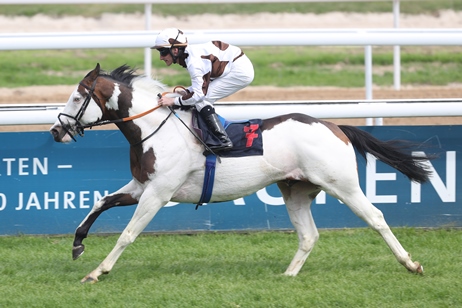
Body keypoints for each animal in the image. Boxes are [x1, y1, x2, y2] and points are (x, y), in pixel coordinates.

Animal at [48, 63, 432, 282]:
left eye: (75, 98)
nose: (55, 131)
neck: (154, 129)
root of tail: (334, 125)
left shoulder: (158, 193)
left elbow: (127, 234)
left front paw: (97, 272)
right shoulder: (142, 186)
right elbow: (101, 202)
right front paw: (78, 245)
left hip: (342, 184)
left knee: (376, 217)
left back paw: (411, 264)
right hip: (295, 189)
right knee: (308, 235)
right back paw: (288, 275)